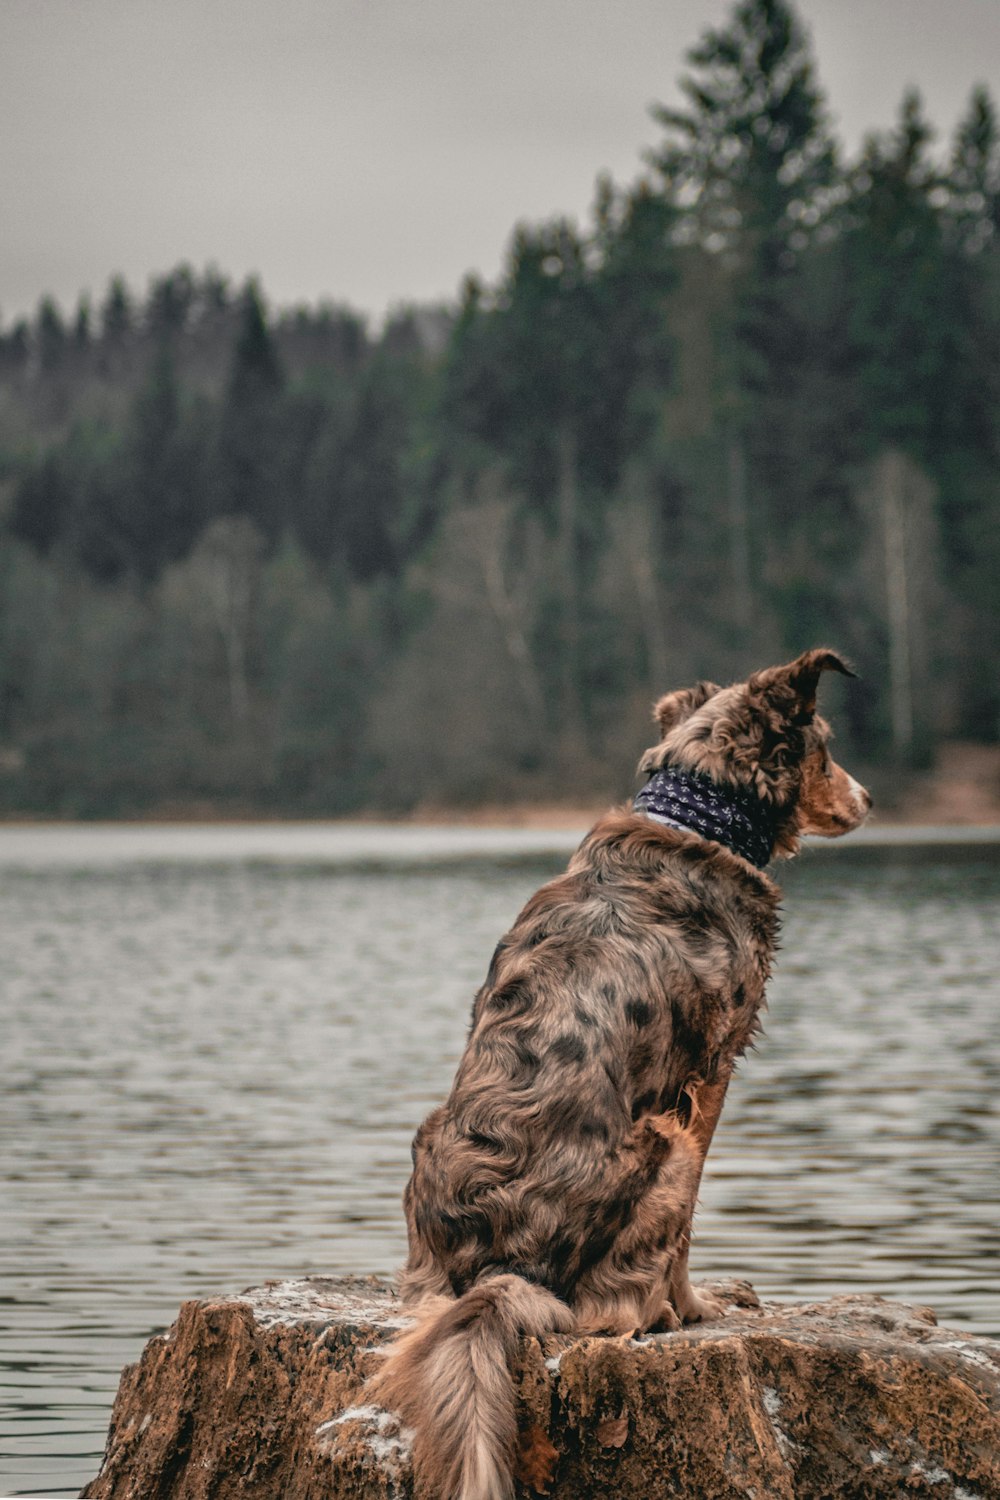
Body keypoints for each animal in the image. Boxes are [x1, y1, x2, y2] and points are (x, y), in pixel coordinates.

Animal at [371, 648, 869, 1500]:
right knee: (614, 1308)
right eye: (826, 749)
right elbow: (688, 1235)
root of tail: (505, 1269)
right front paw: (699, 1306)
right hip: (663, 1144)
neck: (695, 814)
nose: (868, 799)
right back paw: (664, 1312)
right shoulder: (709, 1075)